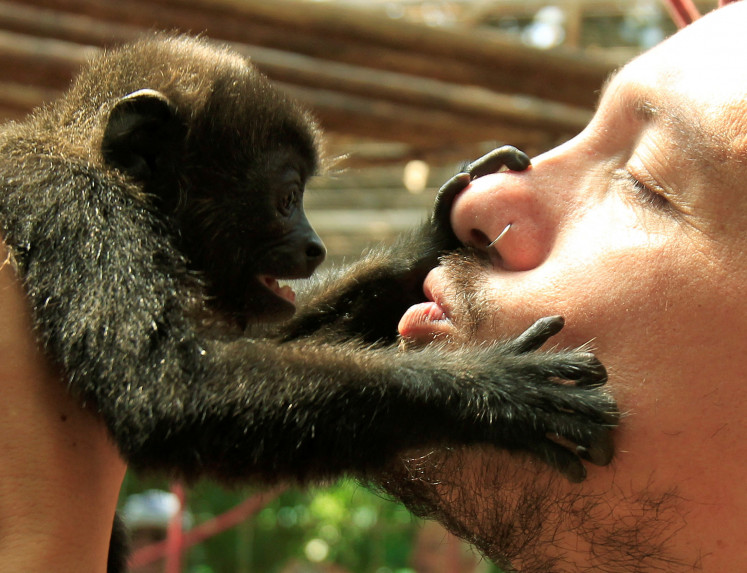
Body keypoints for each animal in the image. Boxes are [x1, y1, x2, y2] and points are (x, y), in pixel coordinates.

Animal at [0, 34, 618, 571]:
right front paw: (494, 390)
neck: (84, 151)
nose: (316, 245)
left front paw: (433, 238)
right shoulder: (81, 206)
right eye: (287, 198)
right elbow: (163, 387)